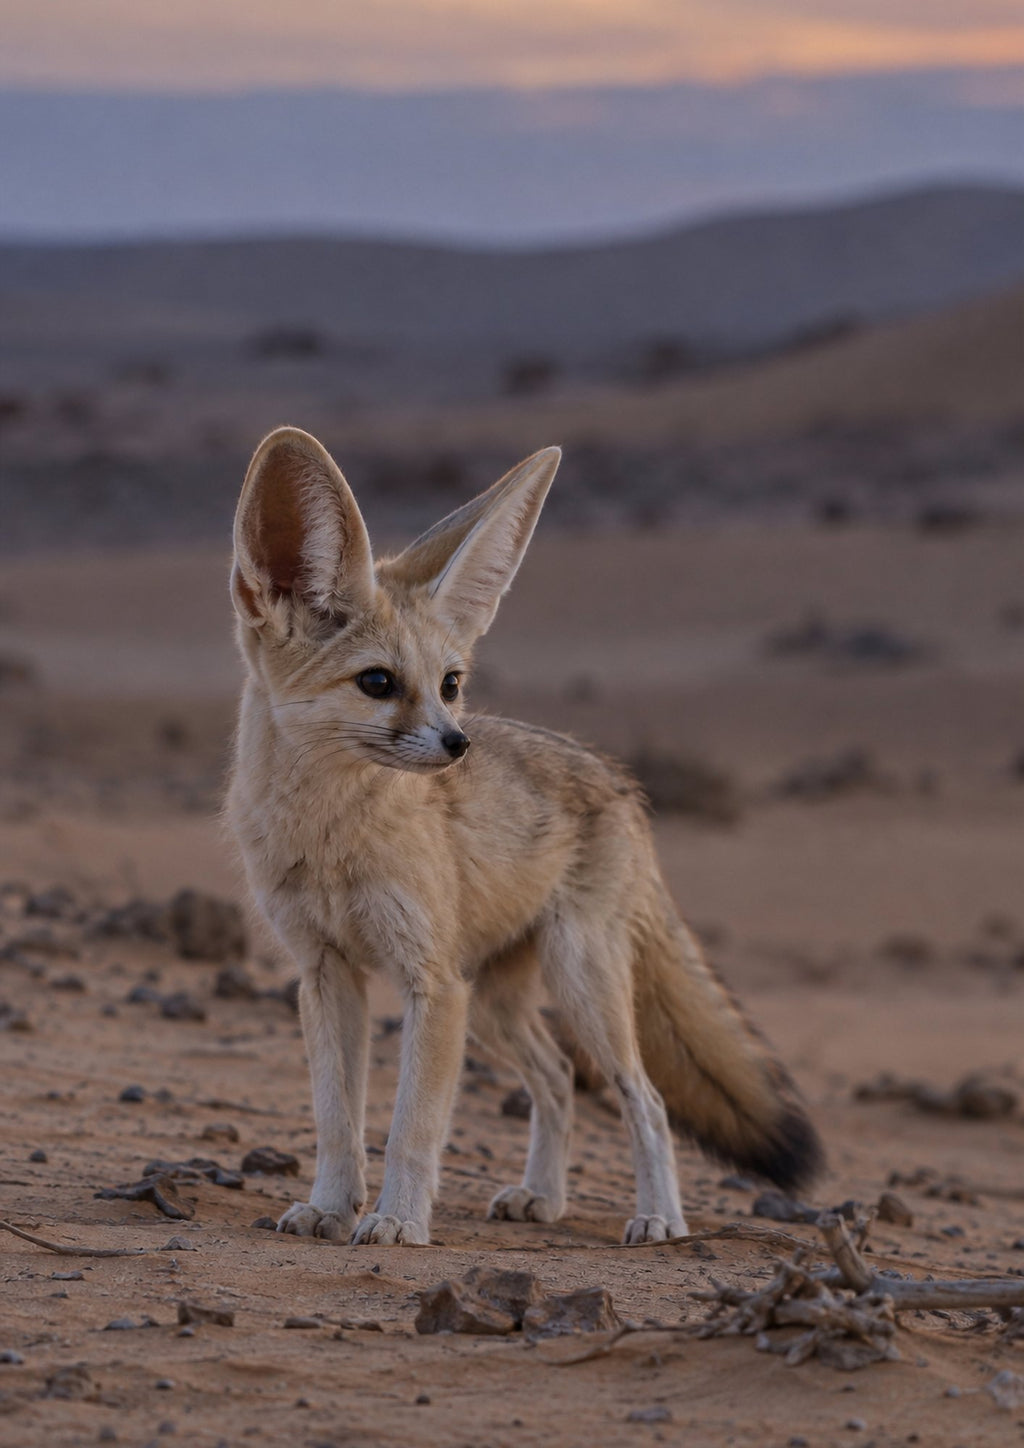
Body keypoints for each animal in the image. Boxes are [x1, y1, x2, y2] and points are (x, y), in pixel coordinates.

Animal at [226, 426, 824, 1247]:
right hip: (497, 1004)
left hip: (577, 984)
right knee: (557, 1078)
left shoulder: (431, 983)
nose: (458, 745)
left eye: (450, 683)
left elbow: (413, 1126)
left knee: (645, 1098)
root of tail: (619, 781)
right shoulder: (324, 973)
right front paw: (329, 1206)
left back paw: (659, 1218)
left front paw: (397, 1220)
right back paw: (544, 1196)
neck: (330, 839)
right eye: (377, 683)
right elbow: (336, 1120)